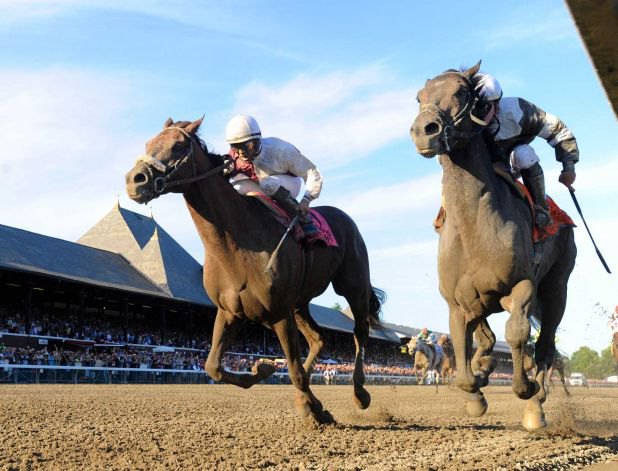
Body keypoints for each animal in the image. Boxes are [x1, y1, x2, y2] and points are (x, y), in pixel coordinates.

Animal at [124, 118, 384, 424]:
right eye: (148, 143)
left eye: (177, 145)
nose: (135, 180)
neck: (236, 243)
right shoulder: (230, 311)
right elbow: (213, 366)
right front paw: (266, 370)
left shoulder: (280, 313)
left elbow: (294, 368)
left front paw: (311, 406)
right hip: (300, 302)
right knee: (319, 338)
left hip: (352, 284)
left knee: (359, 332)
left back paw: (359, 392)